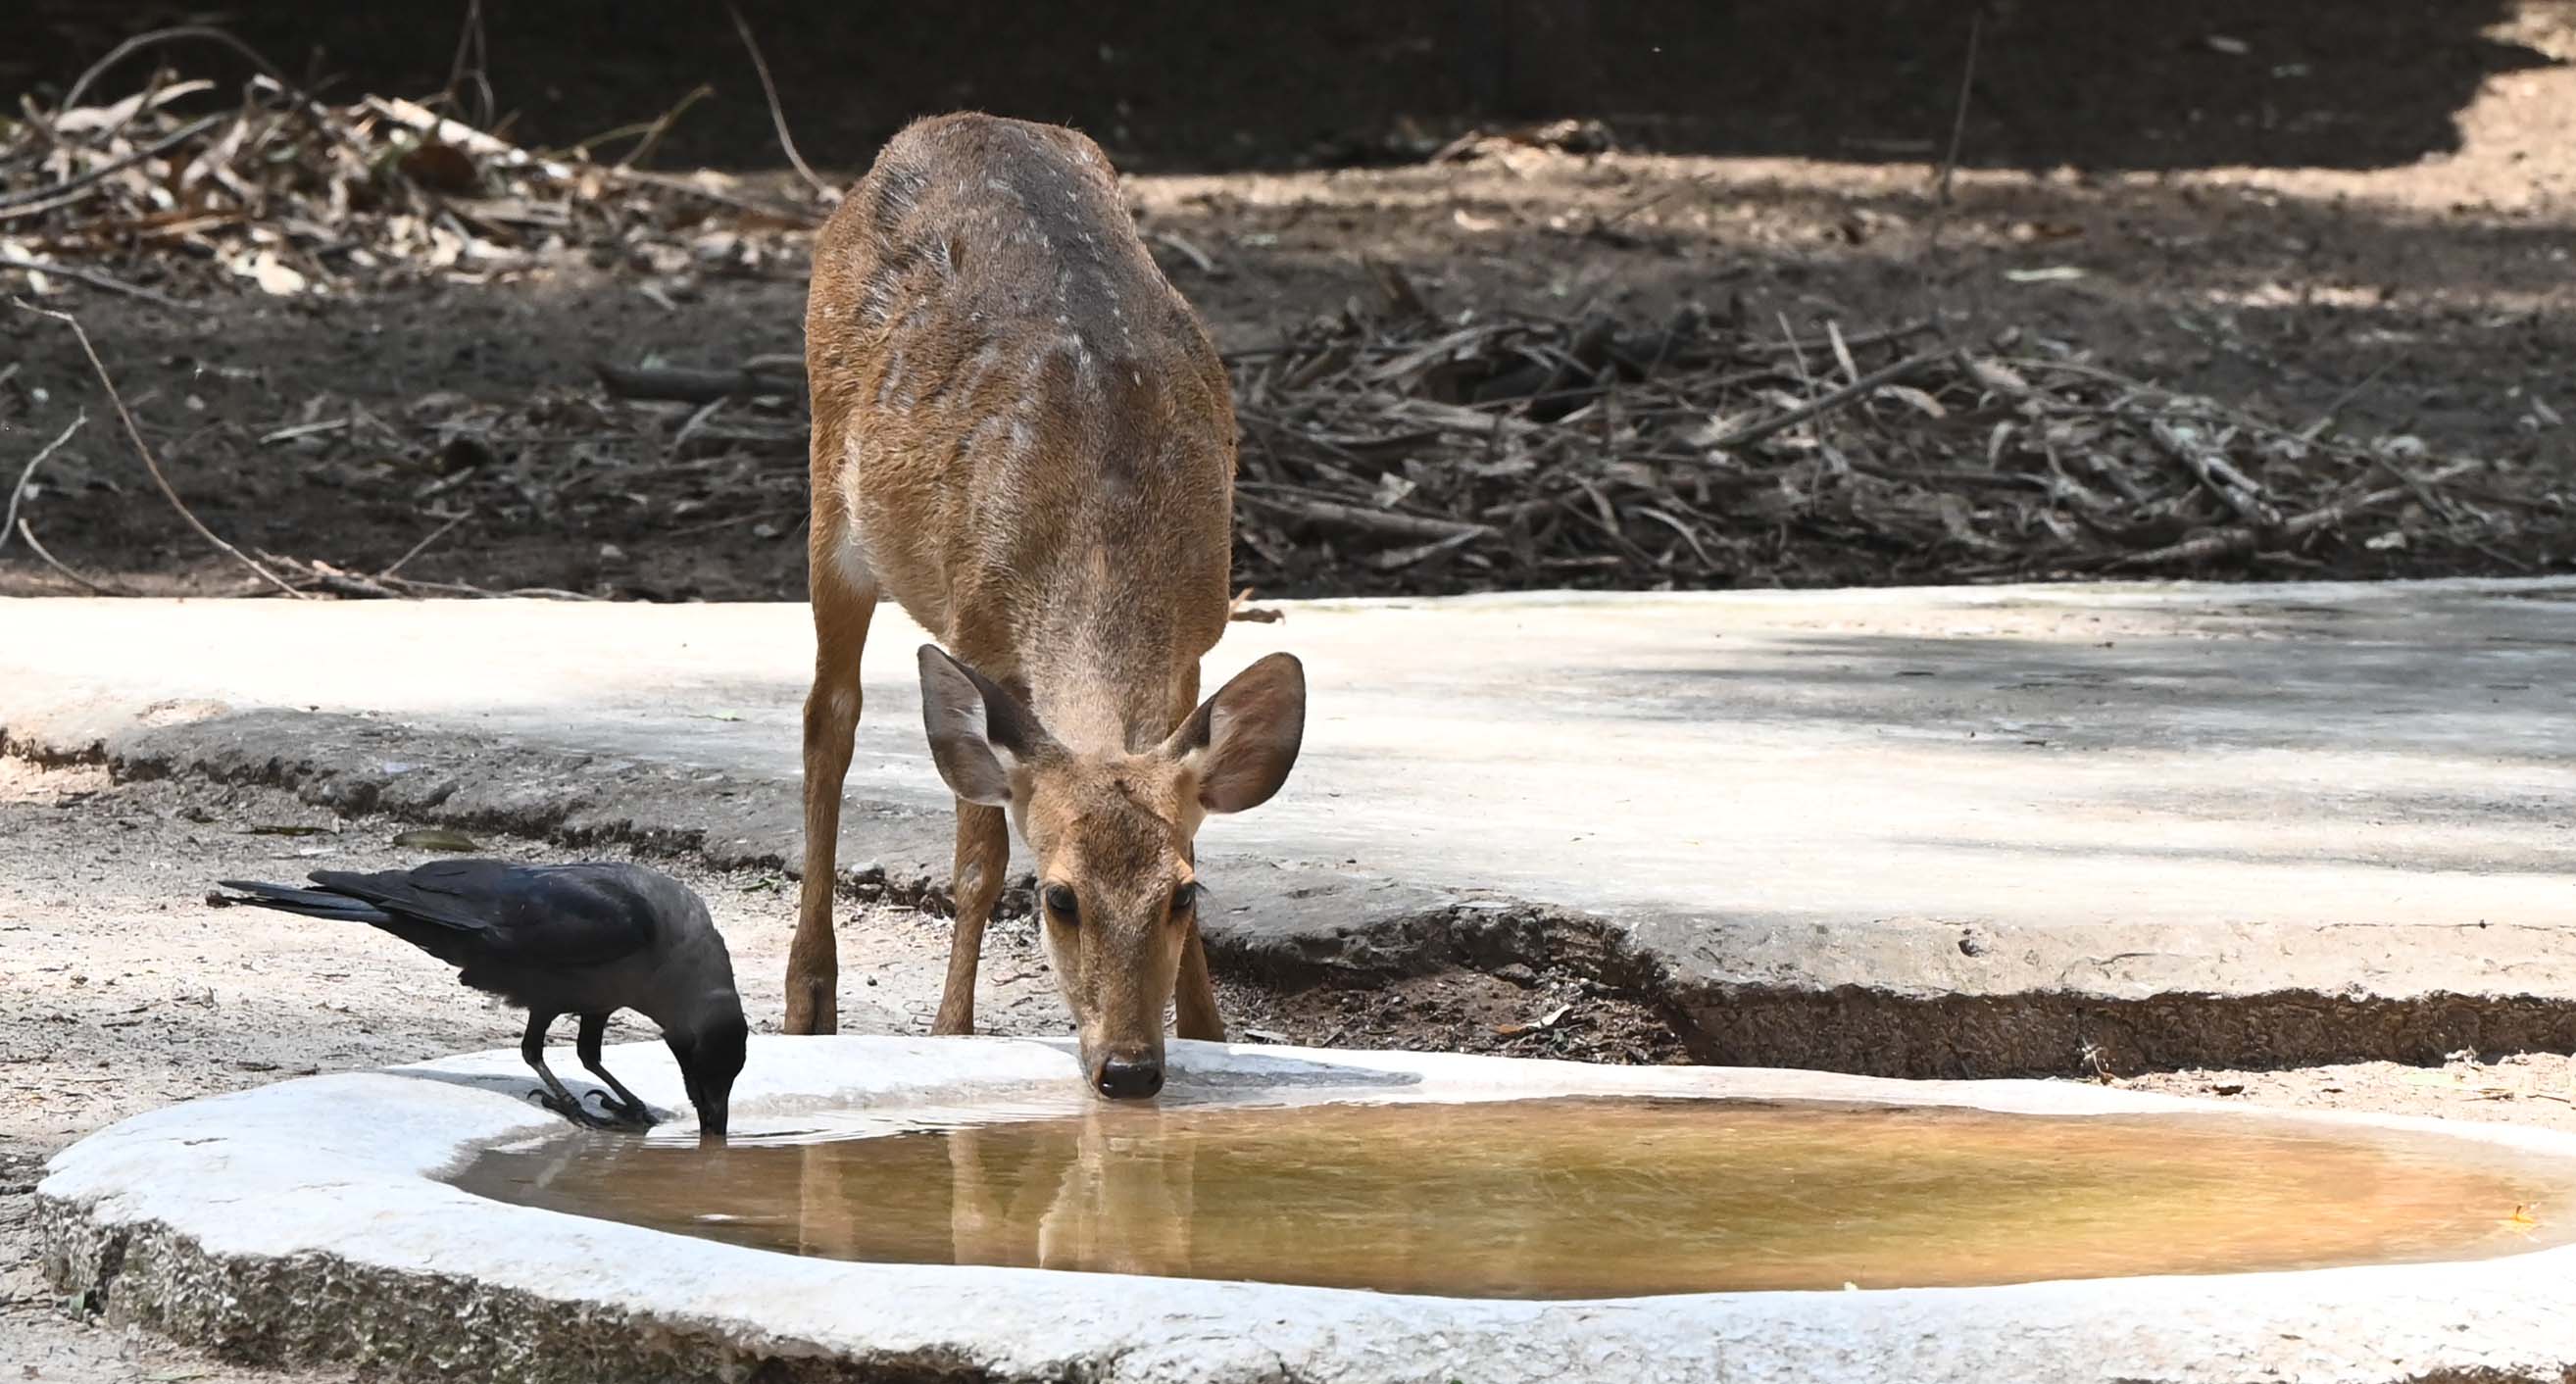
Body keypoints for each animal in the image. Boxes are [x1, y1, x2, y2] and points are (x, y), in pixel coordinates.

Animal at [786, 113, 1308, 1101]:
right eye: (1058, 898)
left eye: (1181, 895)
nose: (1130, 1069)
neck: (1103, 537)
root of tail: (944, 124)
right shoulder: (976, 626)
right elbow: (978, 862)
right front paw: (951, 1036)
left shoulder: (1198, 634)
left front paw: (1214, 1035)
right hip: (832, 504)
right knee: (828, 717)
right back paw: (807, 1002)